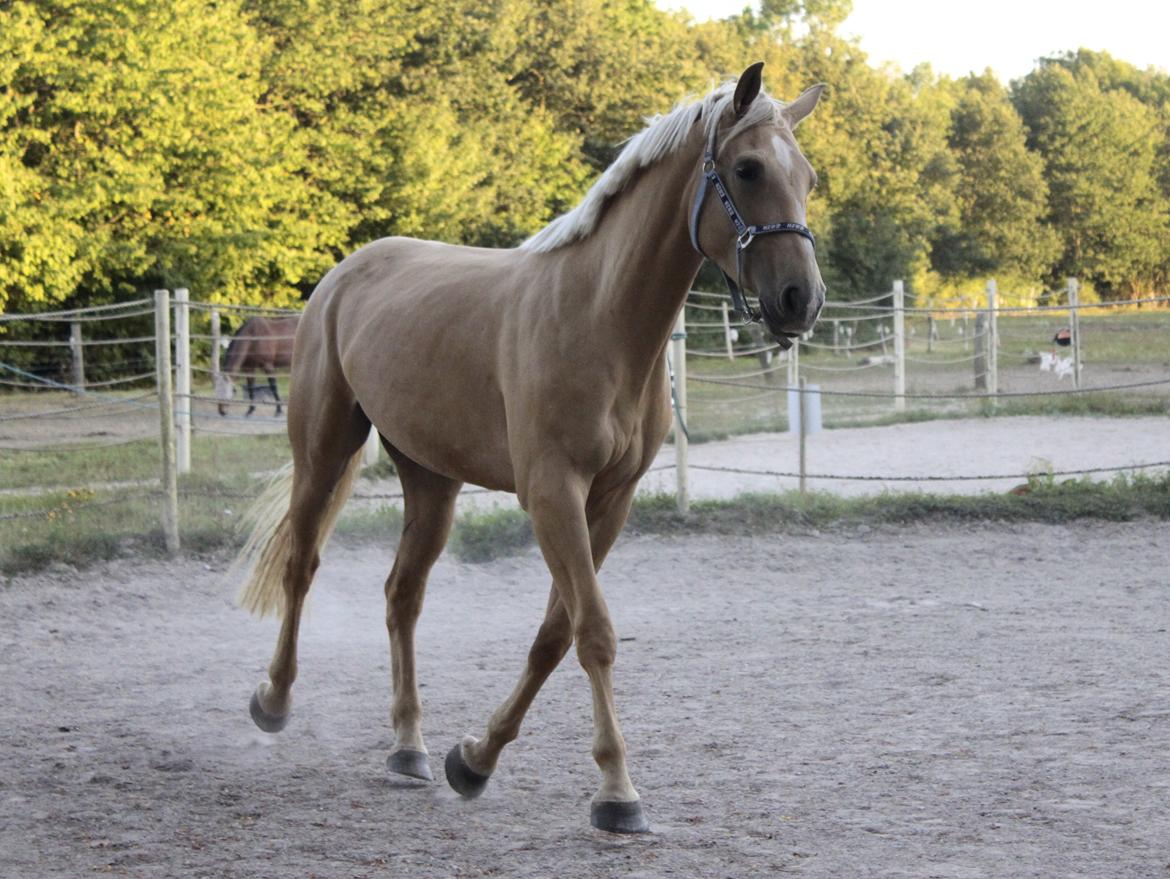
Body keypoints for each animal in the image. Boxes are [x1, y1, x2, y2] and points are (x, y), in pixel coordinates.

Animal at [235, 63, 823, 833]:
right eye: (748, 169)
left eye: (807, 176)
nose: (801, 300)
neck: (600, 318)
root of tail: (344, 275)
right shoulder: (552, 494)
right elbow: (593, 631)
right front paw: (617, 792)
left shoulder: (608, 503)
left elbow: (554, 633)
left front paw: (474, 760)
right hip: (324, 449)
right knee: (301, 565)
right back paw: (273, 700)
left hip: (431, 481)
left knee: (402, 595)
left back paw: (409, 746)